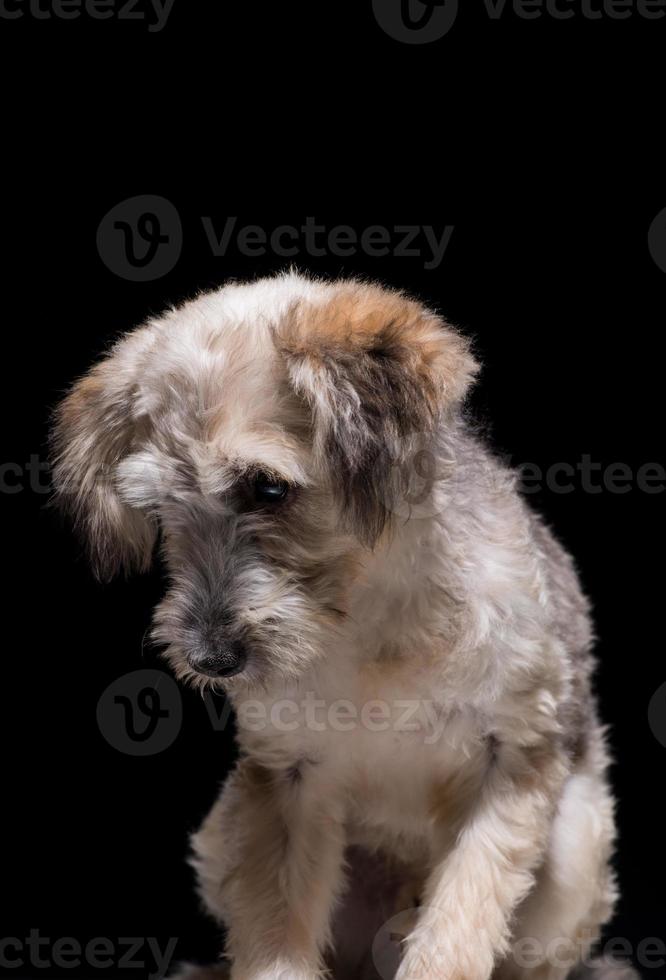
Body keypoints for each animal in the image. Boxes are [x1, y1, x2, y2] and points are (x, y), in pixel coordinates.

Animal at [50, 270, 624, 980]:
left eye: (267, 488)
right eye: (158, 507)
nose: (209, 659)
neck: (367, 624)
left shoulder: (514, 760)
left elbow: (458, 927)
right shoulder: (285, 781)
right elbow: (273, 938)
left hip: (577, 850)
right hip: (222, 834)